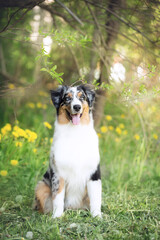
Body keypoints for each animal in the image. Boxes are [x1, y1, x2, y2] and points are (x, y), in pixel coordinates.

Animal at [33, 84, 101, 218]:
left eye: (82, 97)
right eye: (67, 98)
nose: (77, 107)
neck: (75, 133)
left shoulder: (94, 173)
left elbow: (96, 199)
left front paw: (97, 217)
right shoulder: (58, 174)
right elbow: (58, 198)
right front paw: (56, 217)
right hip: (41, 186)